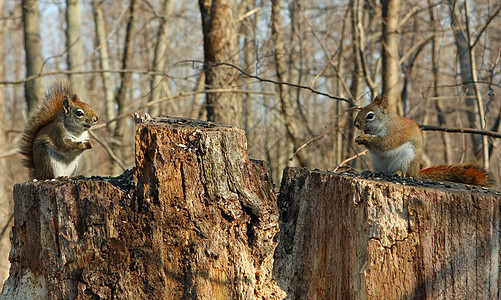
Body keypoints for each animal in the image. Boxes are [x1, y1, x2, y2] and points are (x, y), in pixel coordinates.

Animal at [354, 95, 490, 186]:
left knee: (407, 173)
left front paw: (365, 139)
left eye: (370, 116)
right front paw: (359, 139)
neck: (386, 122)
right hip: (378, 162)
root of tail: (416, 172)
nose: (355, 124)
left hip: (408, 159)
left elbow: (385, 143)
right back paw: (370, 171)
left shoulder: (395, 133)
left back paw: (400, 173)